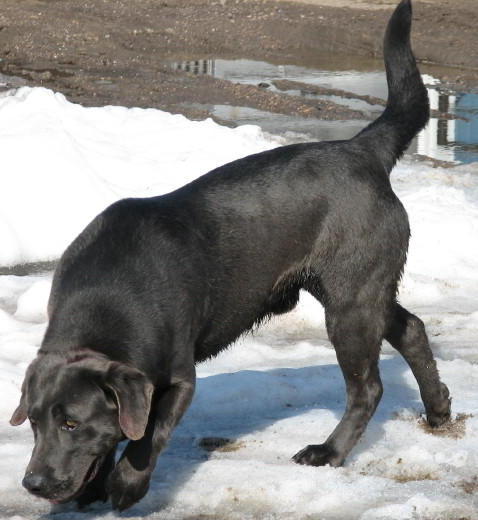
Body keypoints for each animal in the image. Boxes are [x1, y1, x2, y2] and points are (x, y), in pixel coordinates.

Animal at [11, 0, 452, 512]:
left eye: (71, 423)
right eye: (34, 421)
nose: (33, 483)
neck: (106, 296)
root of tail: (362, 149)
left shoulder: (179, 380)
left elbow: (147, 435)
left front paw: (125, 484)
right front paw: (95, 486)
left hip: (350, 301)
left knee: (368, 387)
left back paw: (329, 451)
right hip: (360, 288)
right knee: (411, 327)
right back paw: (438, 408)